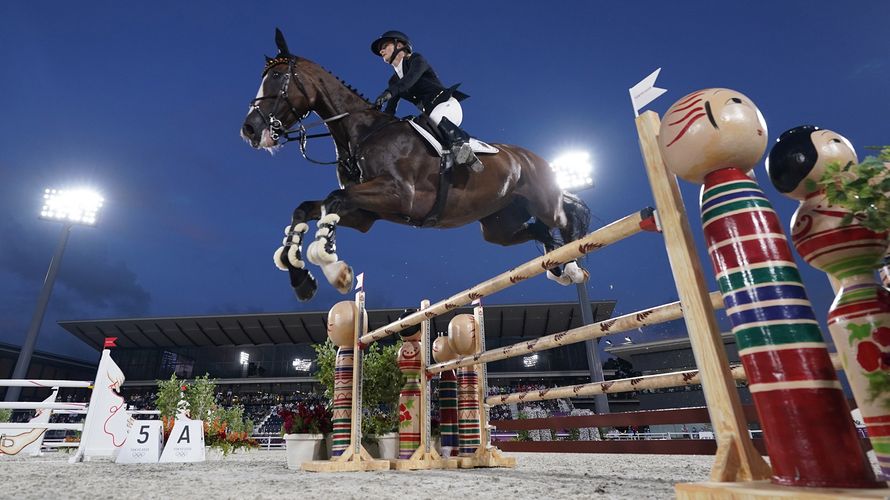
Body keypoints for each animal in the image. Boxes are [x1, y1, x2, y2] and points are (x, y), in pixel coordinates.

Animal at [241, 30, 588, 300]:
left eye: (277, 77)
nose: (250, 129)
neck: (362, 134)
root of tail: (534, 158)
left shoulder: (400, 196)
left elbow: (333, 199)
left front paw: (334, 268)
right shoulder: (366, 213)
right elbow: (306, 208)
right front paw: (301, 278)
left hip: (542, 203)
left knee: (565, 213)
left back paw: (574, 263)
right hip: (498, 226)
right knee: (538, 231)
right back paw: (561, 268)